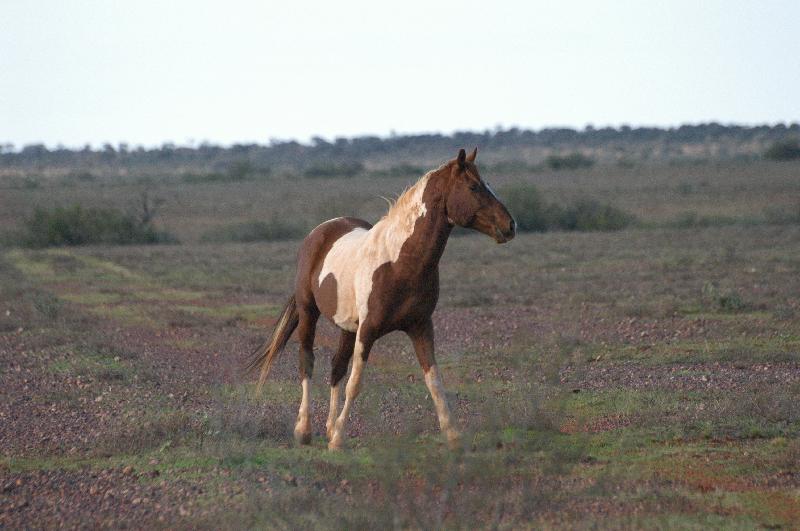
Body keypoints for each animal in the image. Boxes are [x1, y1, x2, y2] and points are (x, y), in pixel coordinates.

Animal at [247, 148, 516, 450]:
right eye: (473, 187)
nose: (510, 225)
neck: (400, 263)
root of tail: (320, 232)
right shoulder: (368, 331)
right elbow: (355, 383)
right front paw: (338, 440)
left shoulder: (420, 327)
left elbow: (434, 380)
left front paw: (453, 435)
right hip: (309, 313)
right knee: (307, 361)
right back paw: (304, 430)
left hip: (347, 327)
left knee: (336, 368)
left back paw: (328, 427)